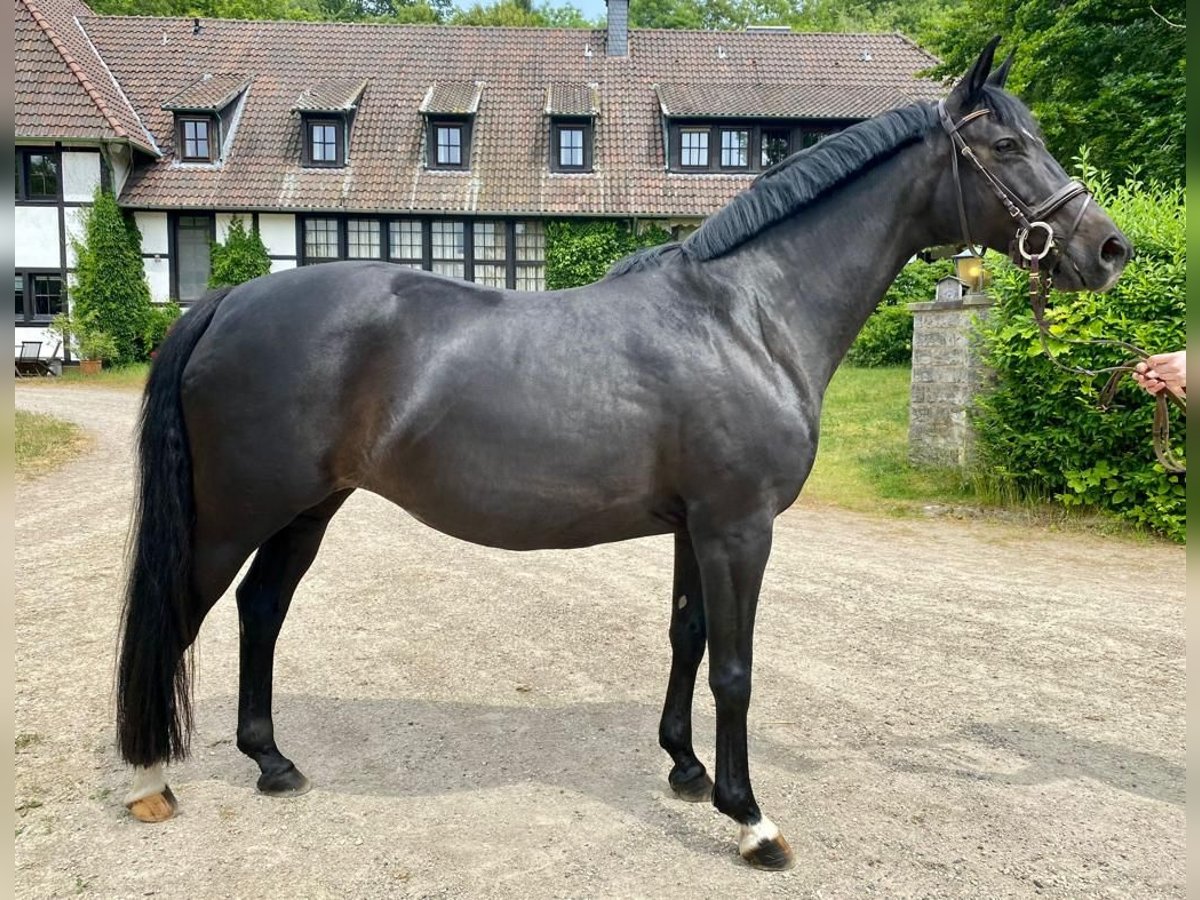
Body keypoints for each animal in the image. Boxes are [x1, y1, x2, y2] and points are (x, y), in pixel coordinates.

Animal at [112, 38, 1123, 868]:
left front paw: (684, 769)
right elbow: (735, 667)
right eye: (1005, 146)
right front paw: (750, 818)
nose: (1109, 248)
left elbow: (686, 637)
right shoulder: (738, 527)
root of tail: (229, 301)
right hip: (236, 514)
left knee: (261, 612)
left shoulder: (694, 527)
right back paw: (150, 779)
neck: (746, 317)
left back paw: (273, 761)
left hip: (309, 508)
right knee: (182, 617)